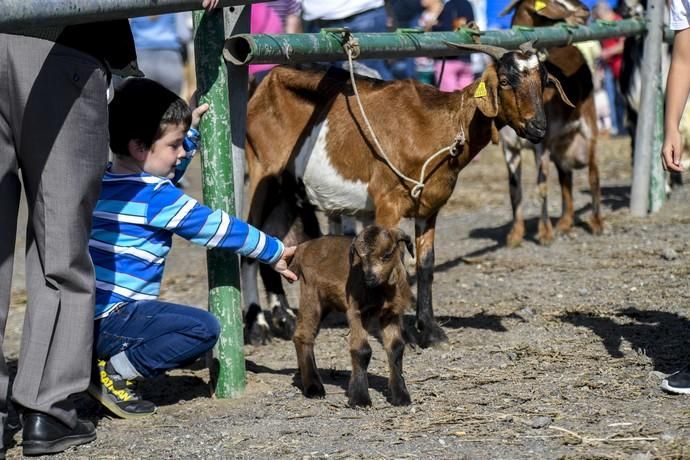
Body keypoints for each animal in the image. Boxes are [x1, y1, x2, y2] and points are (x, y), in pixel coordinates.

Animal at [242, 43, 564, 346]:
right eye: (506, 81)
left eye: (544, 80)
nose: (538, 127)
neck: (439, 128)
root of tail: (262, 81)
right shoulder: (387, 203)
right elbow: (392, 261)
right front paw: (401, 333)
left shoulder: (429, 207)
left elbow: (425, 264)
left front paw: (430, 331)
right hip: (262, 173)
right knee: (250, 239)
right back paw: (257, 327)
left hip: (286, 191)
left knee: (272, 236)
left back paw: (283, 318)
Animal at [498, 0, 600, 248]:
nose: (585, 11)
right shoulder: (509, 147)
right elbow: (514, 190)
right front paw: (514, 236)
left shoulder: (540, 145)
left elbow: (542, 186)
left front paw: (545, 234)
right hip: (561, 143)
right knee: (566, 177)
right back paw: (564, 223)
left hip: (589, 125)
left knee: (593, 172)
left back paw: (596, 223)